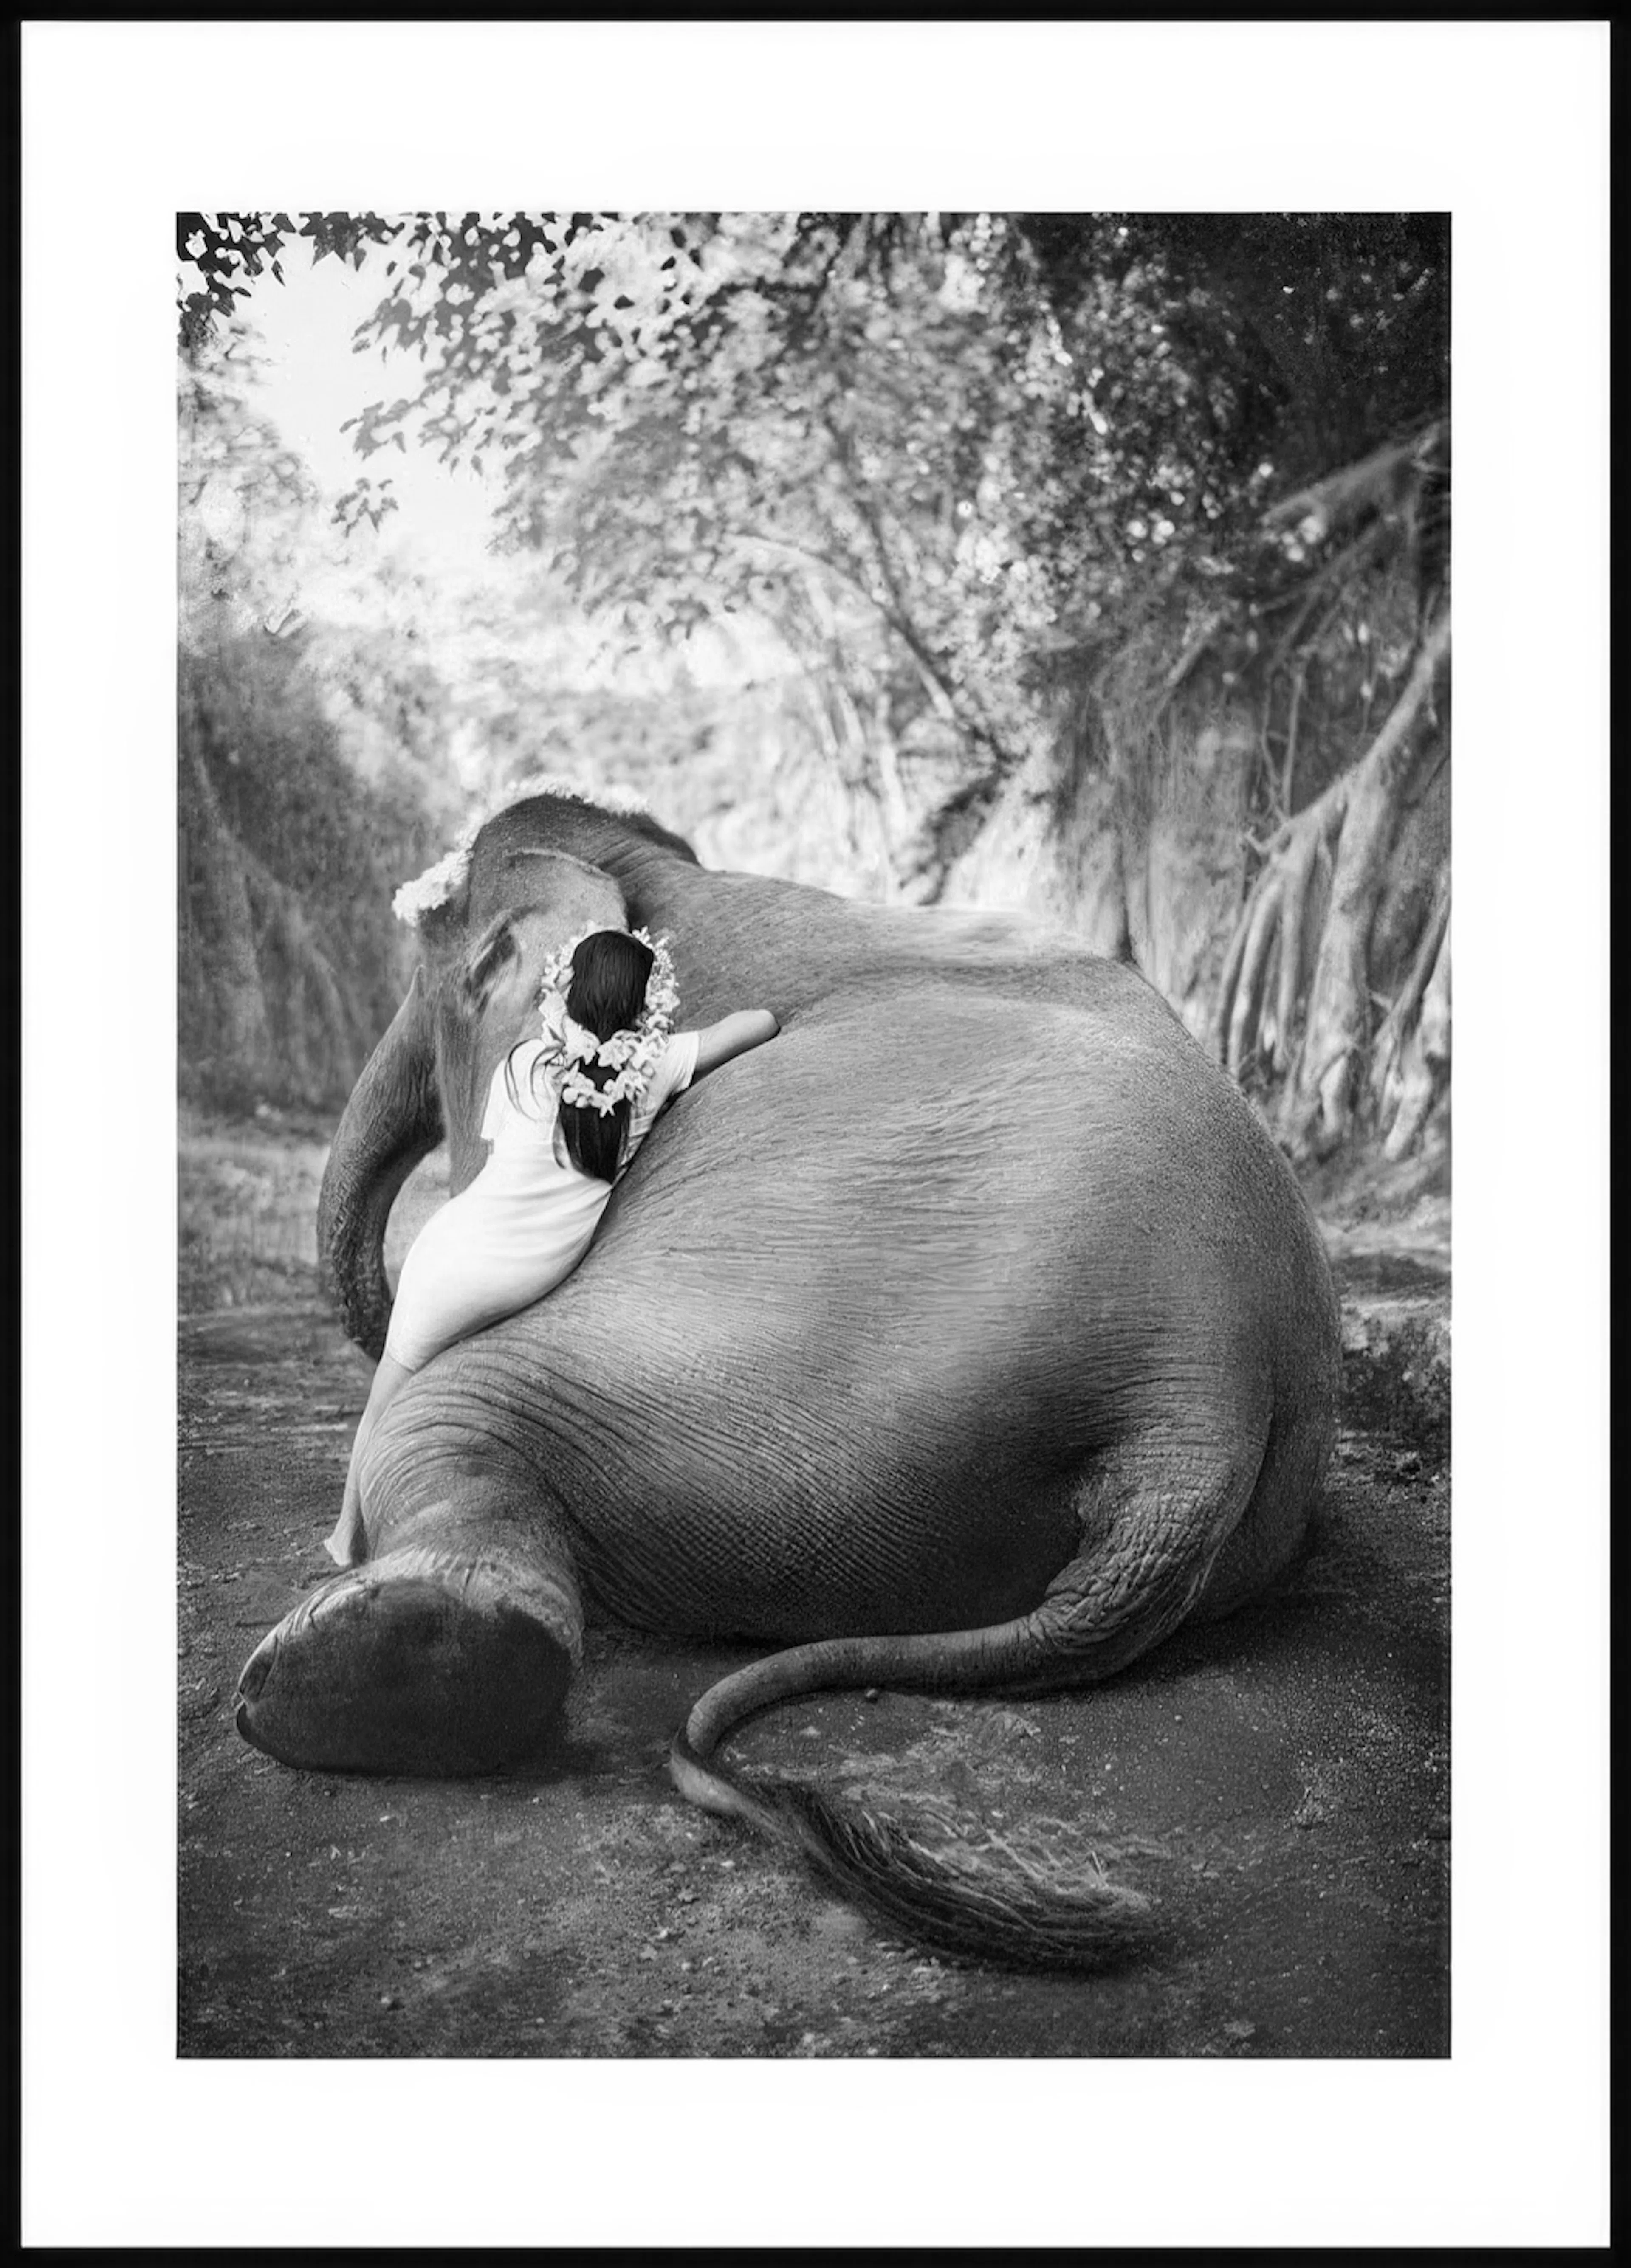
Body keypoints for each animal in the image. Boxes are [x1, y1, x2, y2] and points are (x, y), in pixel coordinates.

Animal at [235, 783, 1342, 1969]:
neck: (660, 881)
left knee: (458, 1407)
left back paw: (369, 1667)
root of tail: (1197, 1419)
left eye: (436, 971)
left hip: (766, 1365)